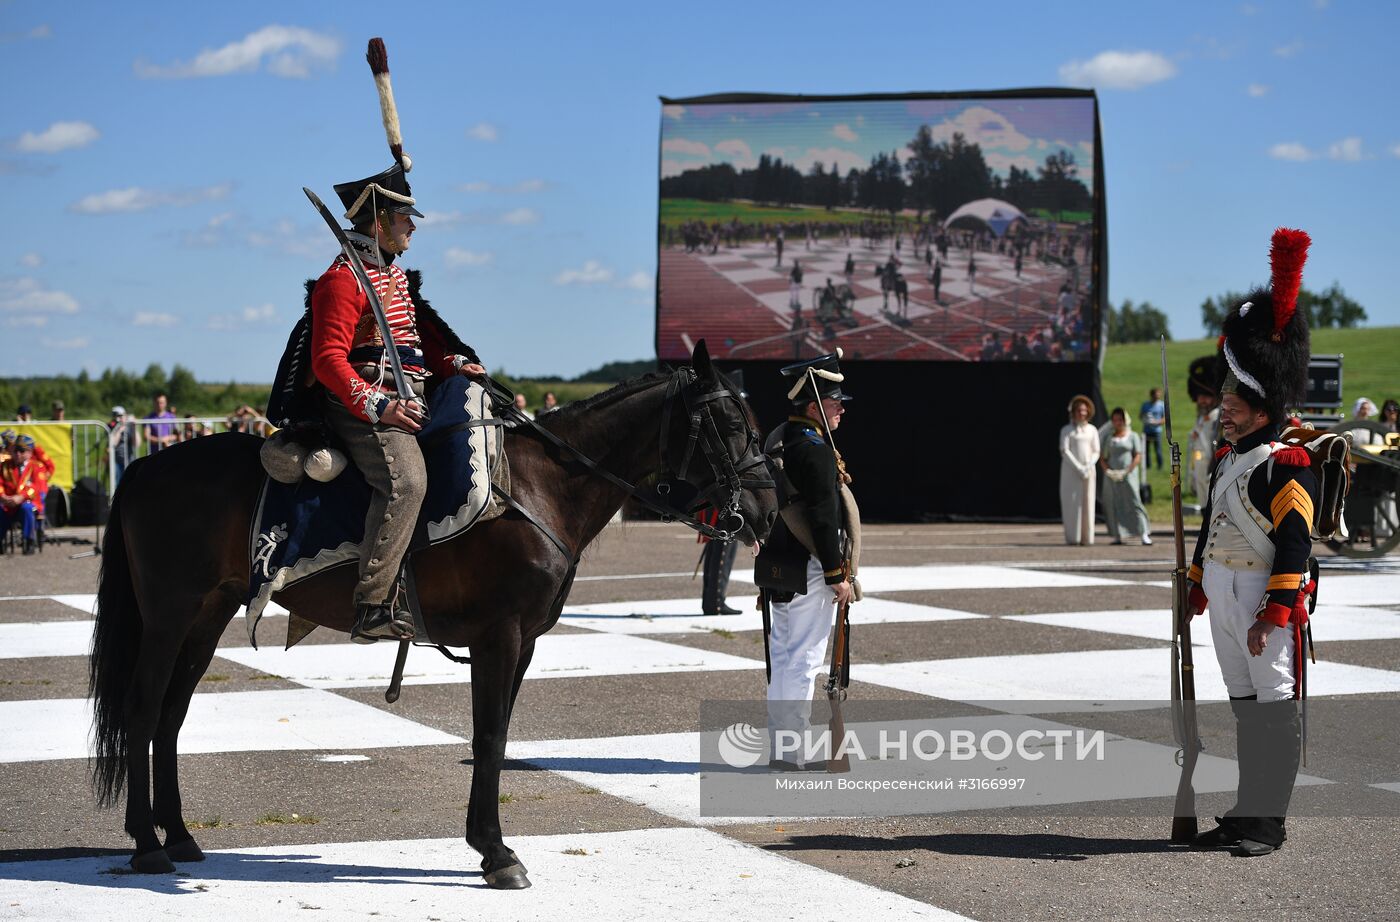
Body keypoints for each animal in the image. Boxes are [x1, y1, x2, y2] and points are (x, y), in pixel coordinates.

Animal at [87, 342, 778, 889]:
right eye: (728, 422)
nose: (767, 512)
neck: (539, 487)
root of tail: (146, 466)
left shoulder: (524, 644)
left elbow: (496, 734)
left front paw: (487, 845)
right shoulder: (500, 638)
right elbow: (490, 738)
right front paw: (496, 853)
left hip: (207, 616)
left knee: (171, 715)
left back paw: (179, 836)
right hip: (169, 616)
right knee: (144, 709)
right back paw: (146, 844)